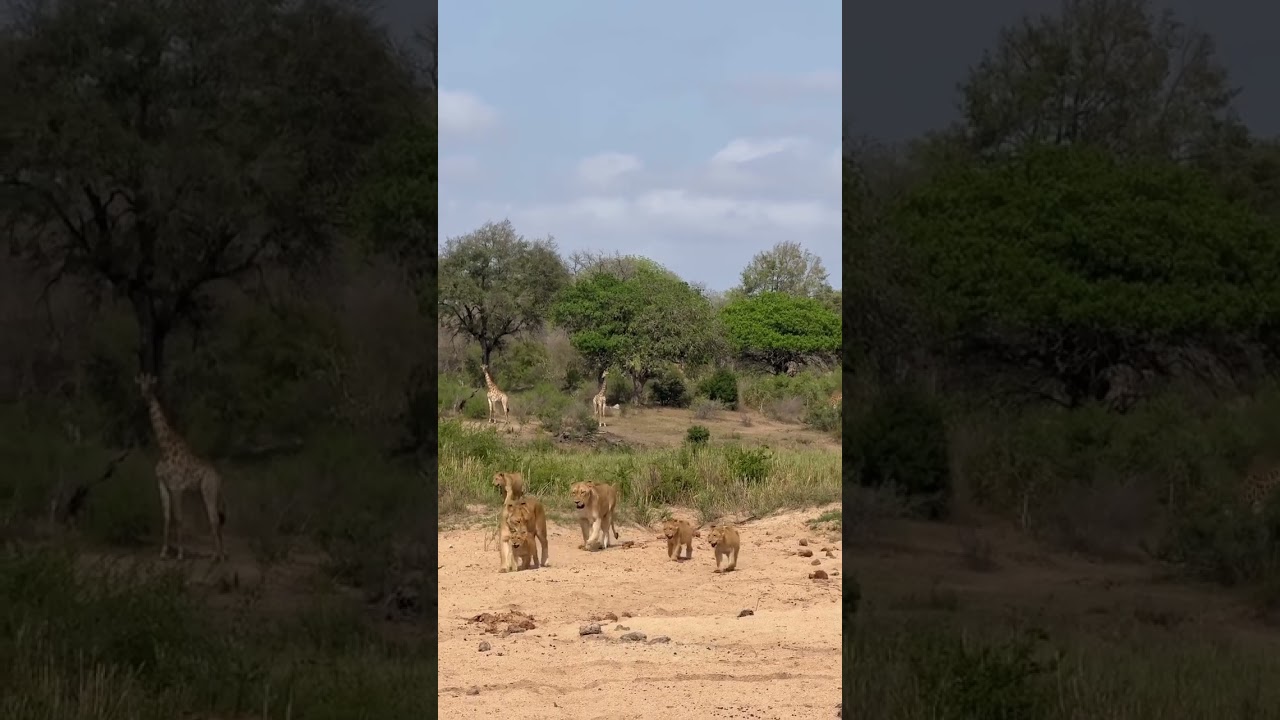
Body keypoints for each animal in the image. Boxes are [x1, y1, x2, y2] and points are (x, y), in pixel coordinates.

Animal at [136, 373, 226, 562]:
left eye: (151, 385)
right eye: (140, 385)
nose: (145, 396)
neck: (164, 447)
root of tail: (219, 477)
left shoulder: (177, 486)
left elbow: (178, 518)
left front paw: (180, 554)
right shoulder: (162, 484)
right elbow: (166, 517)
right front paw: (163, 552)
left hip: (208, 489)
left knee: (214, 518)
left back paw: (218, 556)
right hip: (206, 491)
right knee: (216, 519)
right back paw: (220, 553)